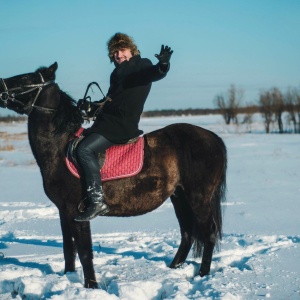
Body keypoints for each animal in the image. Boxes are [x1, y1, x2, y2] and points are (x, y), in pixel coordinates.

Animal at [0, 62, 226, 288]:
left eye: (26, 79)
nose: (1, 88)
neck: (59, 147)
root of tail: (212, 138)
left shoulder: (76, 212)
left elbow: (84, 252)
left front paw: (91, 286)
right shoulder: (63, 211)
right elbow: (68, 249)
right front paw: (69, 277)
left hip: (198, 198)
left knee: (208, 234)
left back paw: (203, 274)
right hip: (179, 197)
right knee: (187, 233)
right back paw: (173, 269)